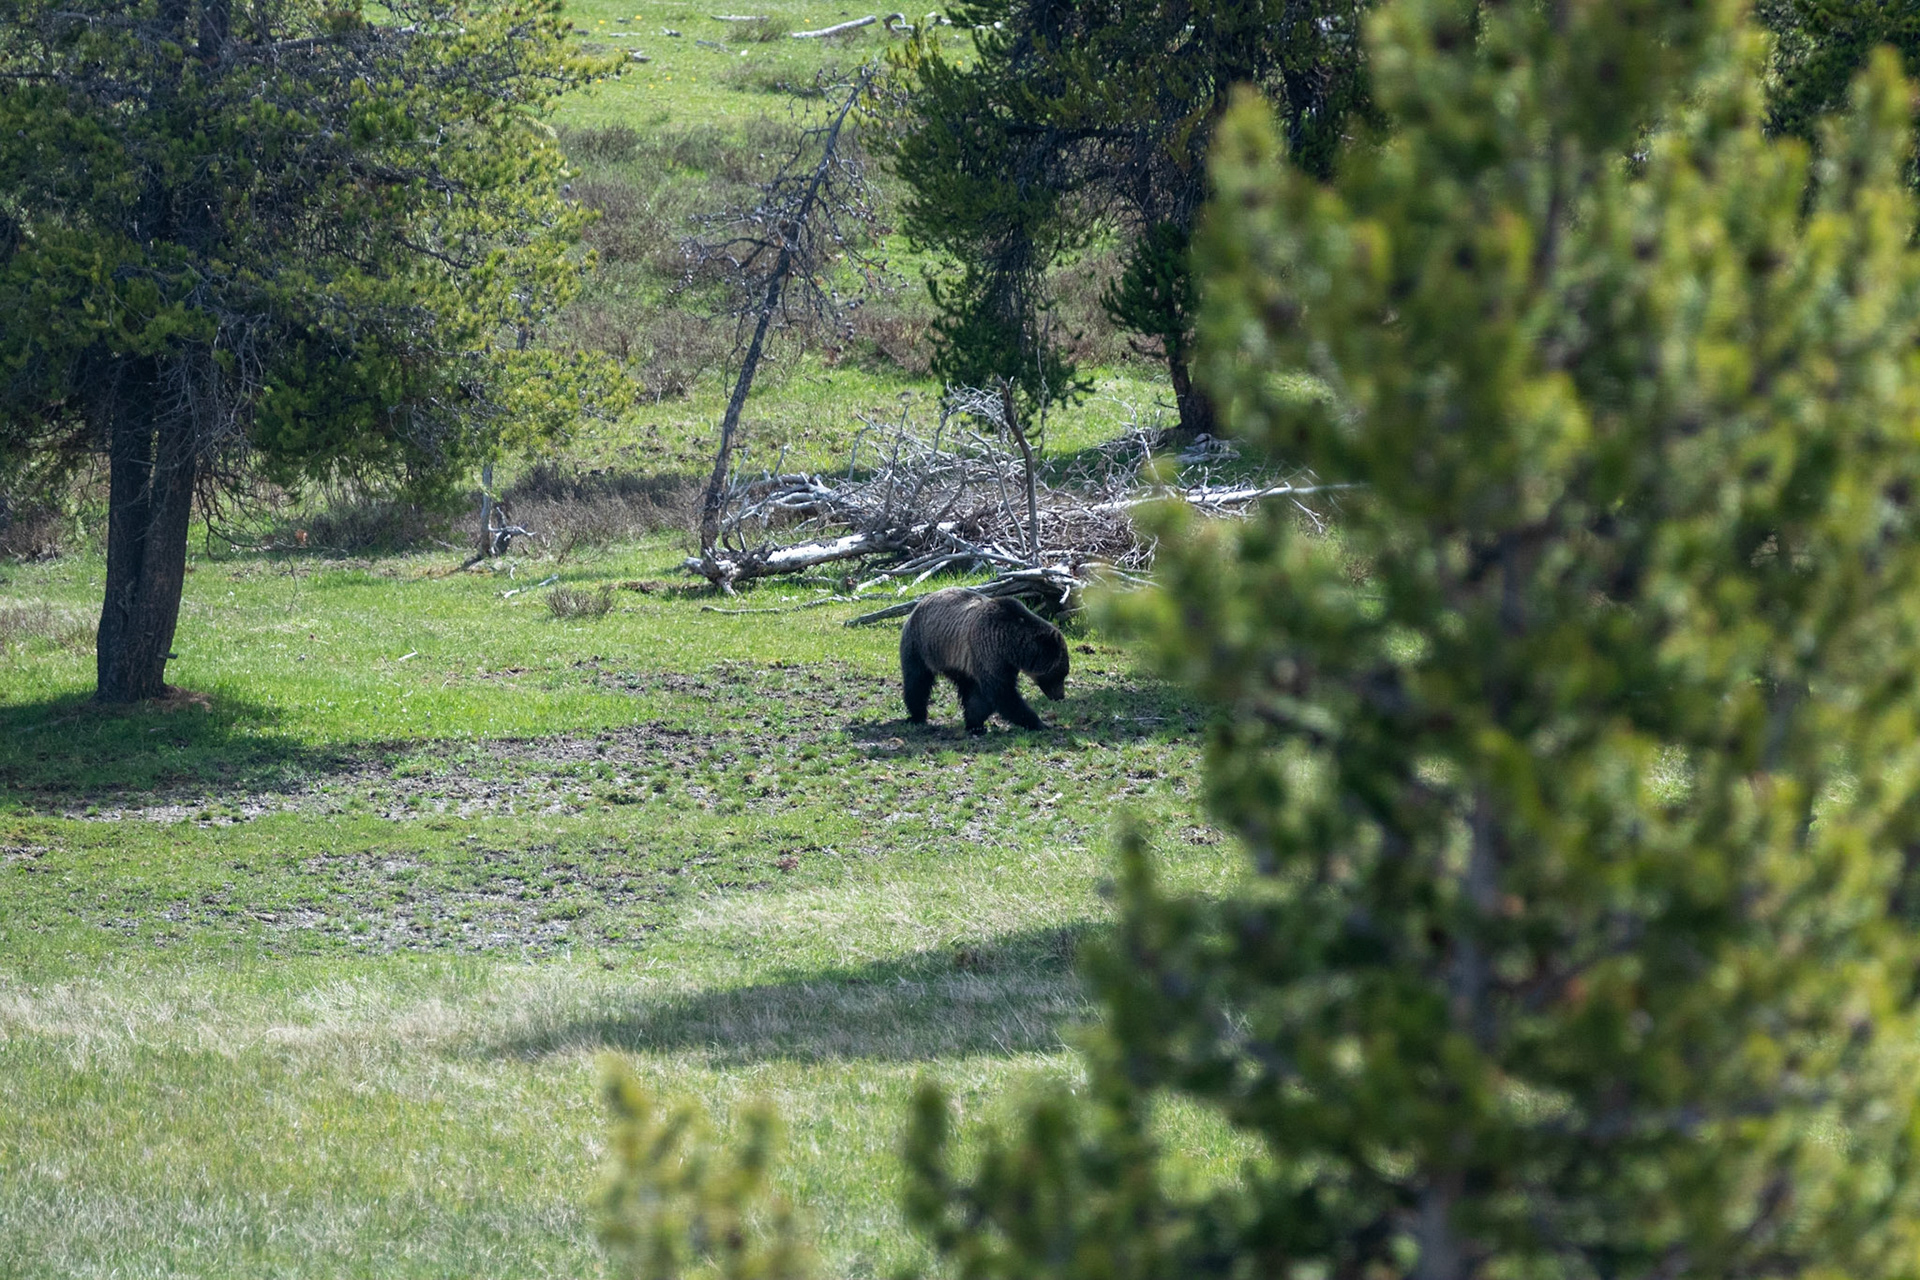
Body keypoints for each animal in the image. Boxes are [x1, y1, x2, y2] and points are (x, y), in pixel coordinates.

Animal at [900, 587, 1070, 733]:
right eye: (1060, 674)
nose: (1060, 697)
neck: (1011, 645)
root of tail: (920, 603)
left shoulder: (996, 661)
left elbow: (980, 697)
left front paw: (975, 724)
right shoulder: (989, 651)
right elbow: (1002, 693)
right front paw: (1040, 723)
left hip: (954, 661)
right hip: (920, 646)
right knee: (917, 681)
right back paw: (916, 716)